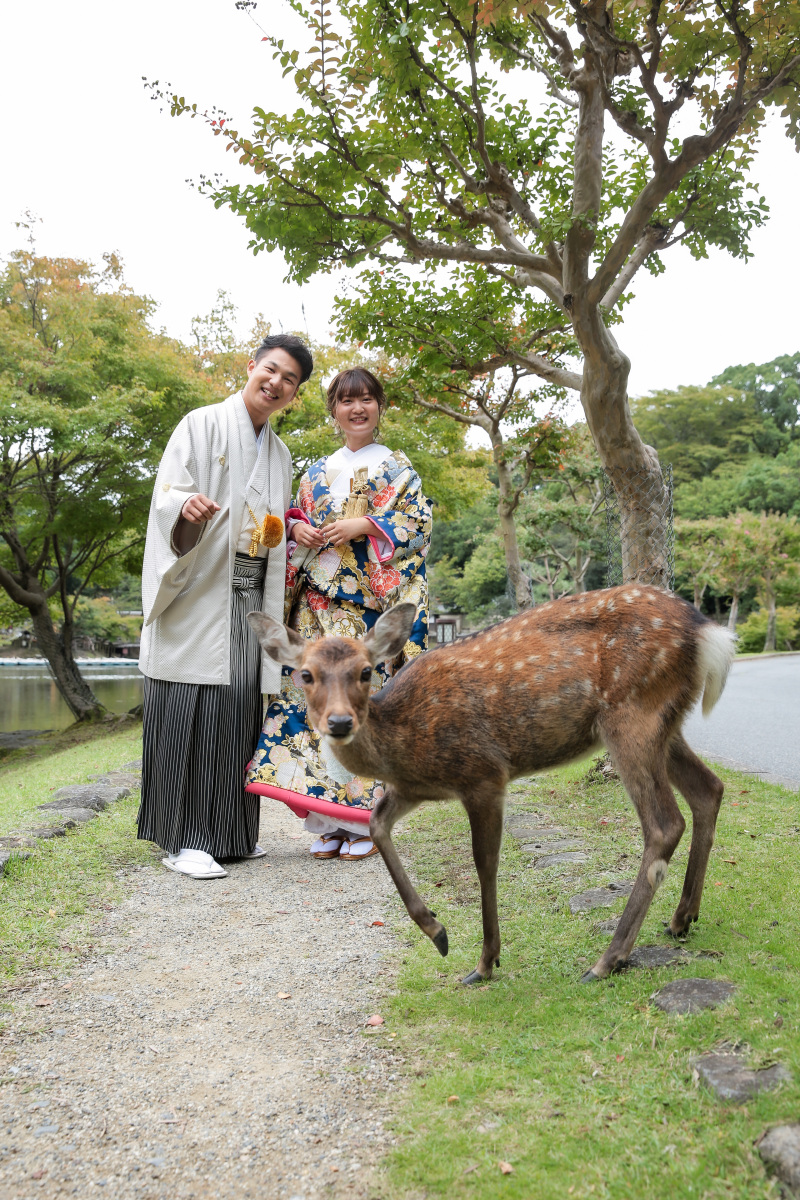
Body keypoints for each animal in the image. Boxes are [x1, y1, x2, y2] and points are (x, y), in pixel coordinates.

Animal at [248, 584, 736, 985]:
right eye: (305, 674)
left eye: (366, 671)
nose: (340, 722)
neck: (405, 742)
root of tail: (709, 632)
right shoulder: (414, 788)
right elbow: (376, 823)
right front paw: (437, 932)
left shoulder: (482, 773)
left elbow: (485, 863)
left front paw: (485, 962)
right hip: (664, 724)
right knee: (709, 789)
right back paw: (681, 919)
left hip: (632, 714)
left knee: (664, 823)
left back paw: (607, 960)